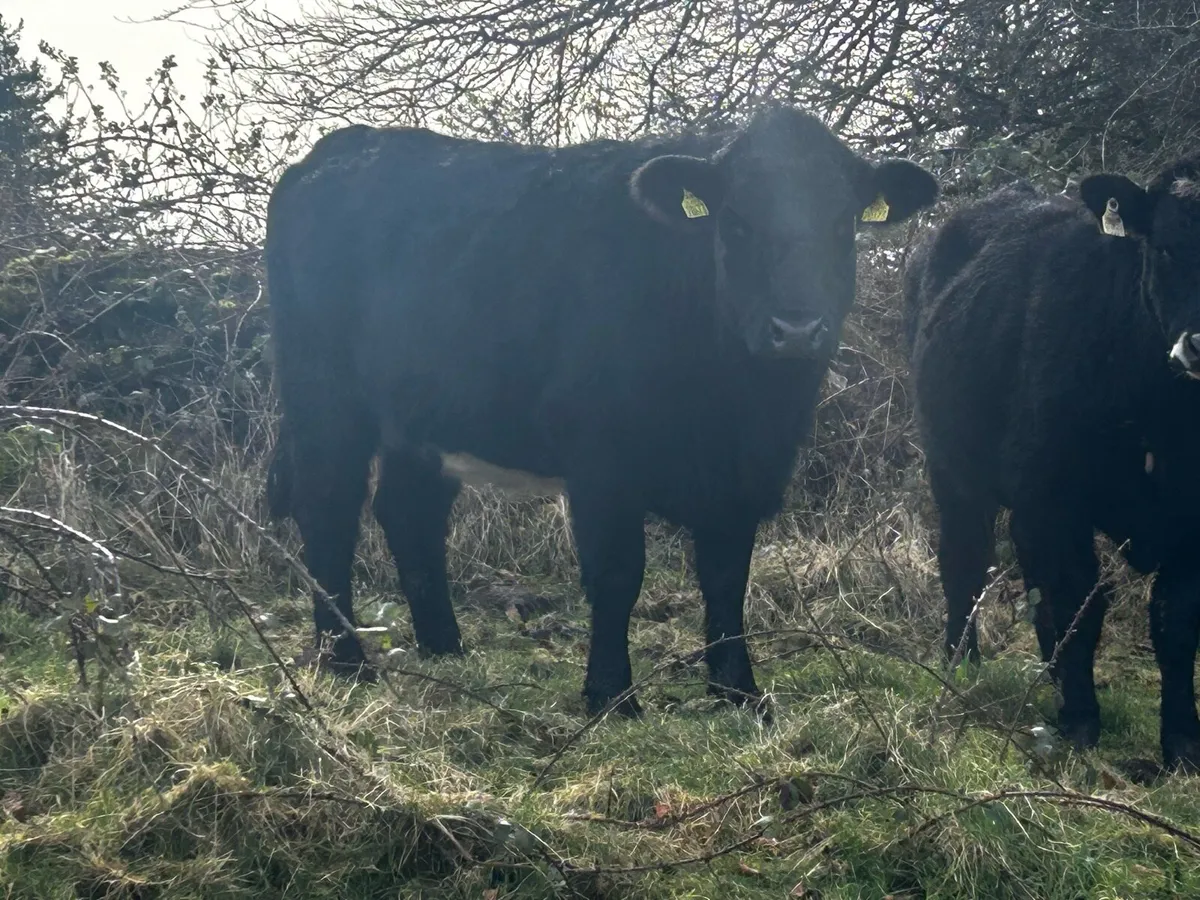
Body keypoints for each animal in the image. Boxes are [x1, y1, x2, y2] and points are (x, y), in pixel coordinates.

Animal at [264, 103, 939, 717]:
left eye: (844, 223)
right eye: (736, 222)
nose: (796, 329)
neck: (734, 402)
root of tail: (334, 150)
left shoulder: (744, 471)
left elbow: (727, 577)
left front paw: (739, 692)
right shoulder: (601, 460)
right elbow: (618, 575)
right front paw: (611, 695)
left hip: (423, 414)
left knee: (410, 514)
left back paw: (445, 649)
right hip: (323, 396)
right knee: (328, 509)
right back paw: (345, 661)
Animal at [903, 159, 1200, 770]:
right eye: (1165, 248)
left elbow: (1176, 622)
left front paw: (1184, 743)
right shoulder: (1052, 500)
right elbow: (1075, 605)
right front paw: (1081, 725)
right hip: (952, 471)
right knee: (964, 563)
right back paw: (961, 665)